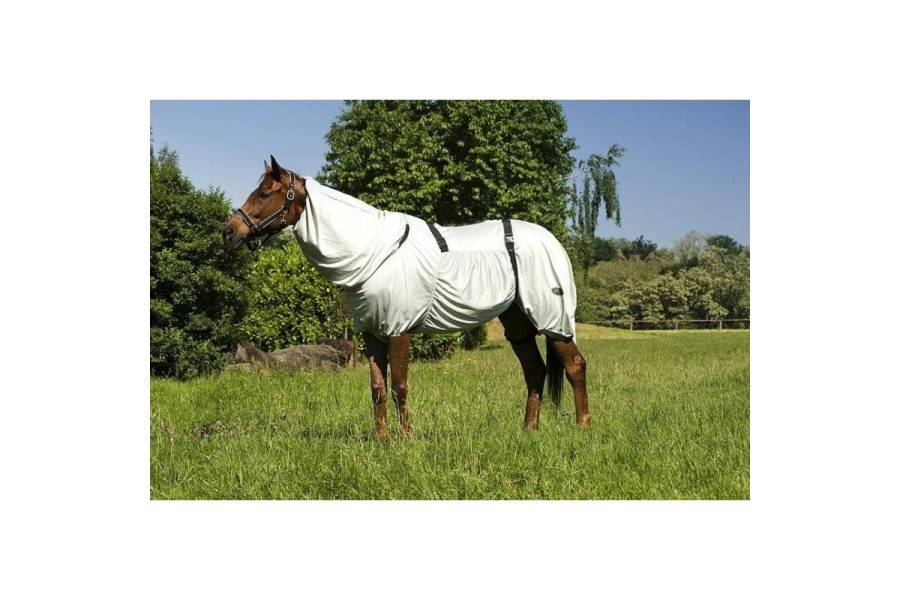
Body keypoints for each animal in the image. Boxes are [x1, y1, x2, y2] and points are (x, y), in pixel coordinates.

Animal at [223, 155, 590, 440]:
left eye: (265, 193)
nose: (229, 231)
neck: (372, 251)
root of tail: (551, 241)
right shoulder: (372, 332)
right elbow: (377, 389)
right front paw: (382, 439)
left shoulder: (399, 328)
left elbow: (400, 385)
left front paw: (406, 439)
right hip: (517, 322)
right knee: (535, 370)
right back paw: (529, 430)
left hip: (552, 317)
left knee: (574, 366)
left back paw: (583, 428)